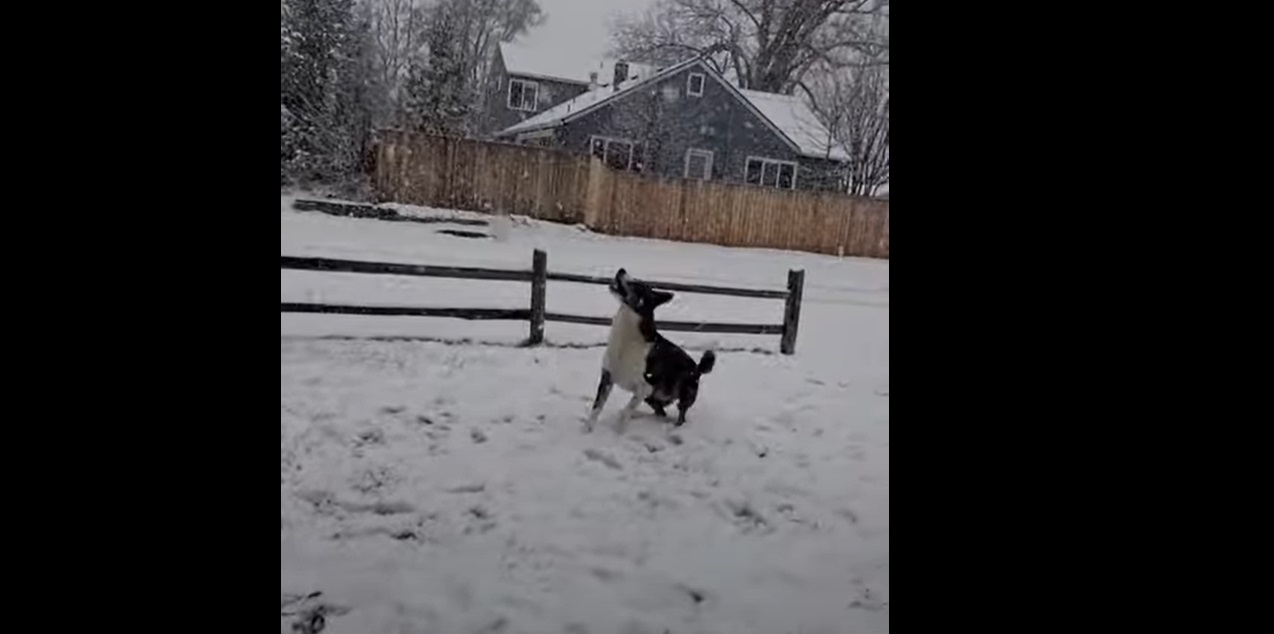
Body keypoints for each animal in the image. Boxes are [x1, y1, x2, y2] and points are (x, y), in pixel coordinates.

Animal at [586, 267, 718, 430]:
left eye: (636, 284)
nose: (622, 270)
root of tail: (698, 368)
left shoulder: (645, 387)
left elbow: (627, 410)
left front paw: (618, 430)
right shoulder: (608, 377)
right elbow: (596, 408)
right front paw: (587, 430)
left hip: (684, 394)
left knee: (680, 415)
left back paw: (674, 427)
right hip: (652, 397)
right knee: (660, 411)